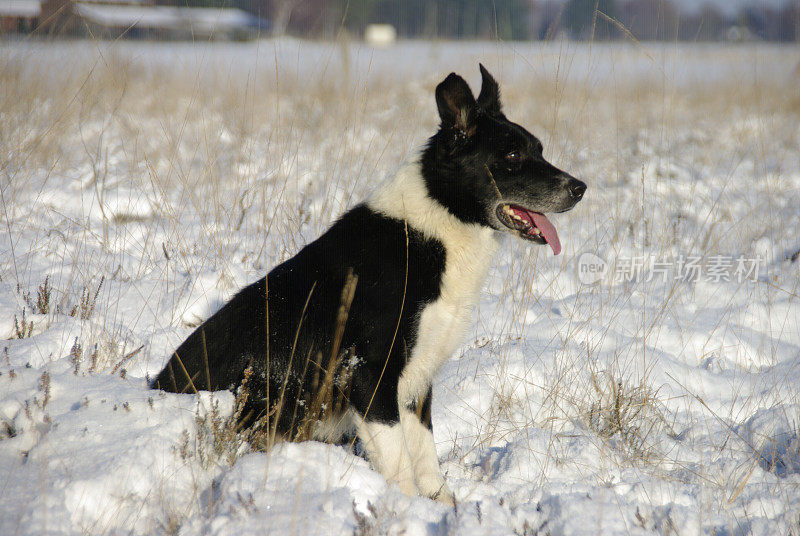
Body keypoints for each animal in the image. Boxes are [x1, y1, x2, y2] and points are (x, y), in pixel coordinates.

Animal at [152, 65, 588, 504]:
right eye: (513, 156)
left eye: (539, 150)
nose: (580, 188)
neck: (436, 227)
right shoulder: (369, 374)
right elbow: (400, 465)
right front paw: (406, 509)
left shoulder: (416, 383)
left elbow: (426, 459)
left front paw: (443, 507)